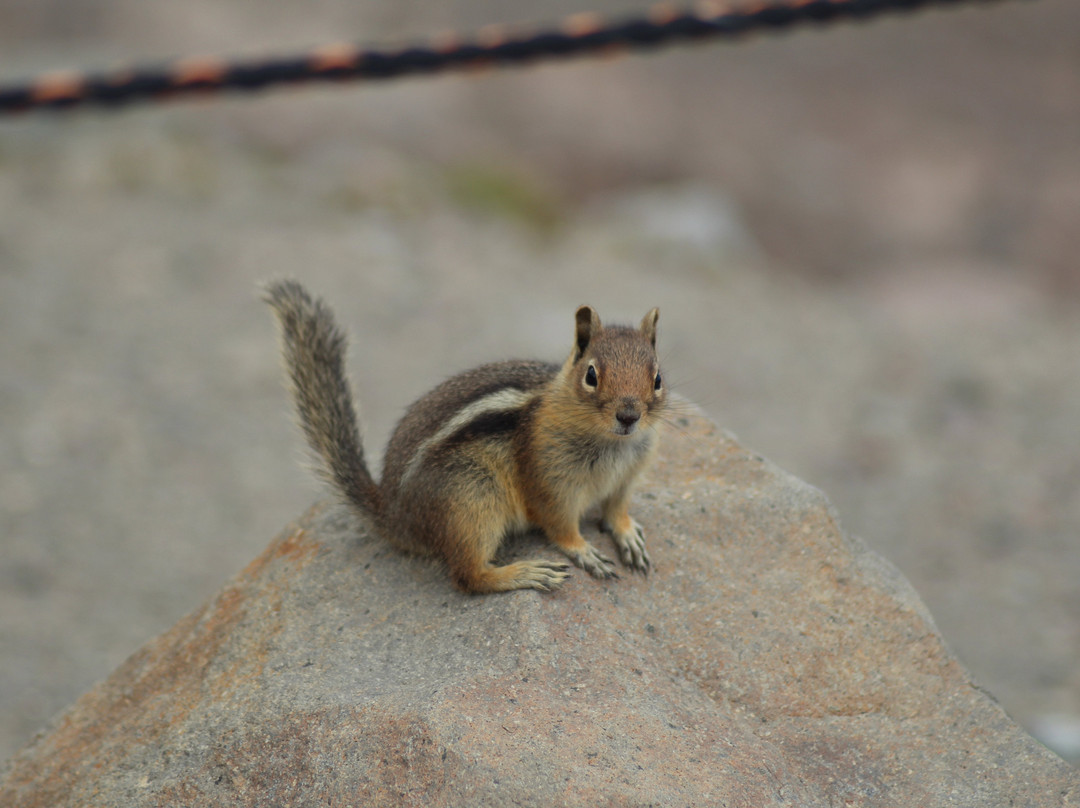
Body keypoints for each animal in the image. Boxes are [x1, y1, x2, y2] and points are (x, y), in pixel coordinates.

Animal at [265, 283, 660, 591]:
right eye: (591, 376)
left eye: (657, 378)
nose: (629, 416)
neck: (615, 445)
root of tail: (395, 515)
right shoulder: (550, 482)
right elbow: (560, 526)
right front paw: (585, 552)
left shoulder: (626, 478)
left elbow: (616, 508)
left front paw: (628, 534)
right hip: (472, 500)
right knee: (468, 576)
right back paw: (525, 573)